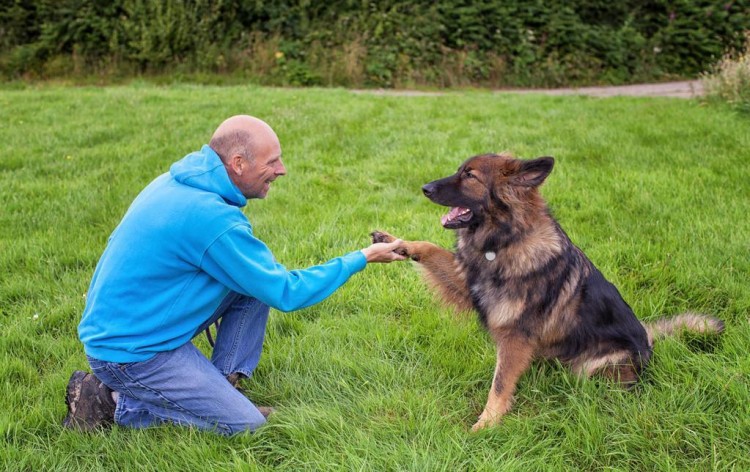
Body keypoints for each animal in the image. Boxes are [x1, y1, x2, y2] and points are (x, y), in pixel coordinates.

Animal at [374, 152, 724, 432]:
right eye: (460, 169)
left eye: (470, 175)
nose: (425, 188)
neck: (504, 241)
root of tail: (648, 341)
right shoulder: (467, 283)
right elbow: (430, 248)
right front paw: (394, 243)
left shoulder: (515, 335)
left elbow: (499, 384)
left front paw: (486, 425)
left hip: (592, 367)